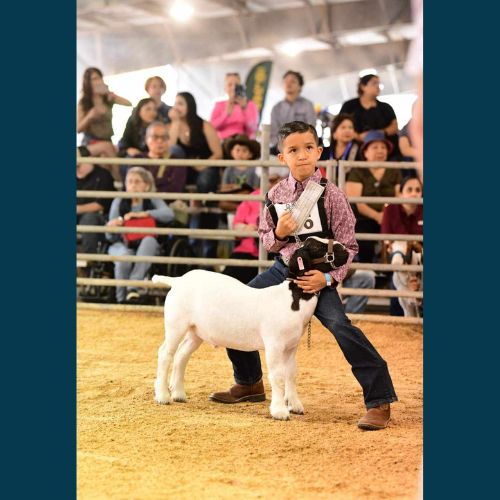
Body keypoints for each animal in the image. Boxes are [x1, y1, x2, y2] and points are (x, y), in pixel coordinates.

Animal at [151, 236, 348, 420]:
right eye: (315, 246)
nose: (345, 249)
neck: (292, 298)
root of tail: (177, 281)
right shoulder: (274, 345)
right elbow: (277, 375)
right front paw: (279, 411)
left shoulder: (291, 346)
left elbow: (291, 373)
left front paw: (295, 405)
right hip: (176, 323)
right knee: (165, 354)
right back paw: (163, 396)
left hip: (196, 331)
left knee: (182, 355)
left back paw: (178, 394)